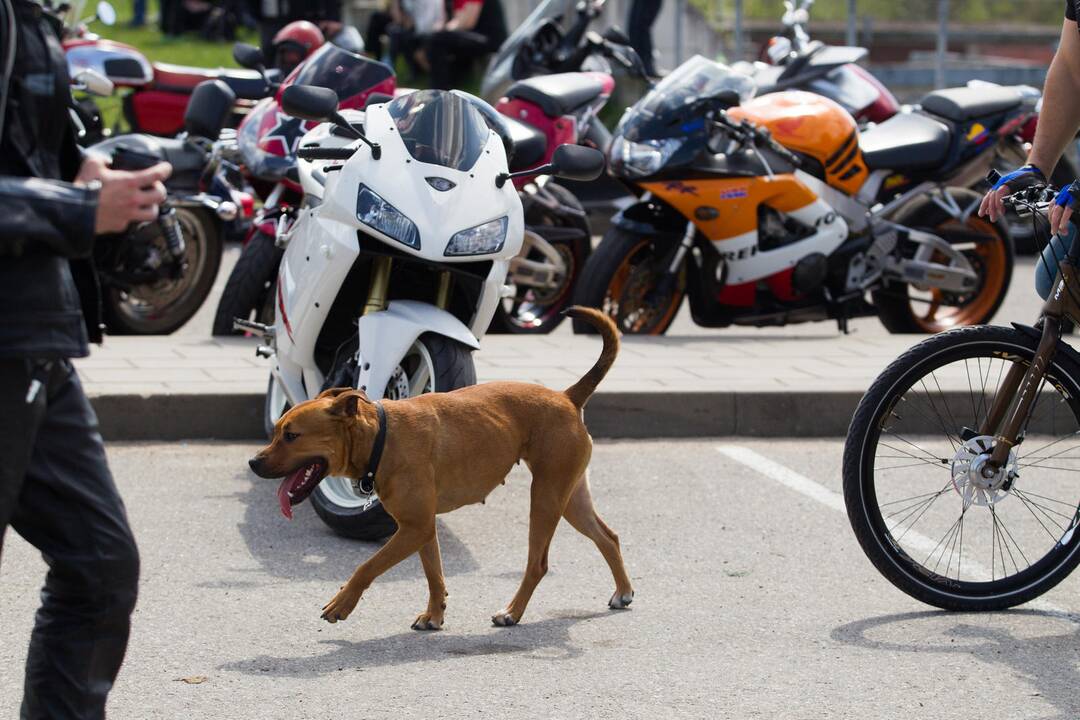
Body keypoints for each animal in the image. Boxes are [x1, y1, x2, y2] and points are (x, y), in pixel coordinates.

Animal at [246, 306, 630, 626]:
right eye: (277, 431)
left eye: (291, 435)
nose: (253, 462)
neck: (382, 436)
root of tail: (567, 397)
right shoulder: (421, 527)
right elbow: (434, 575)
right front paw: (434, 614)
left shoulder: (413, 528)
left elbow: (367, 566)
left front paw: (343, 602)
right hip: (570, 498)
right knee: (608, 537)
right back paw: (623, 591)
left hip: (547, 498)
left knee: (538, 563)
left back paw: (512, 612)